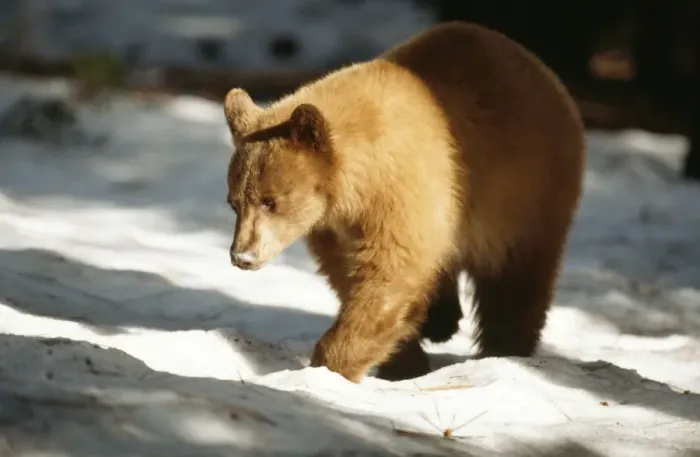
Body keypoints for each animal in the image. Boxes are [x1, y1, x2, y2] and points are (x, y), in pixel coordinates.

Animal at [223, 21, 585, 383]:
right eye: (234, 202)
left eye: (271, 201)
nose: (242, 256)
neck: (353, 185)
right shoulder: (335, 225)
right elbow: (352, 274)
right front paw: (402, 361)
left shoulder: (400, 191)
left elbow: (391, 270)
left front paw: (332, 365)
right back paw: (441, 320)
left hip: (527, 193)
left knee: (516, 282)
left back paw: (503, 348)